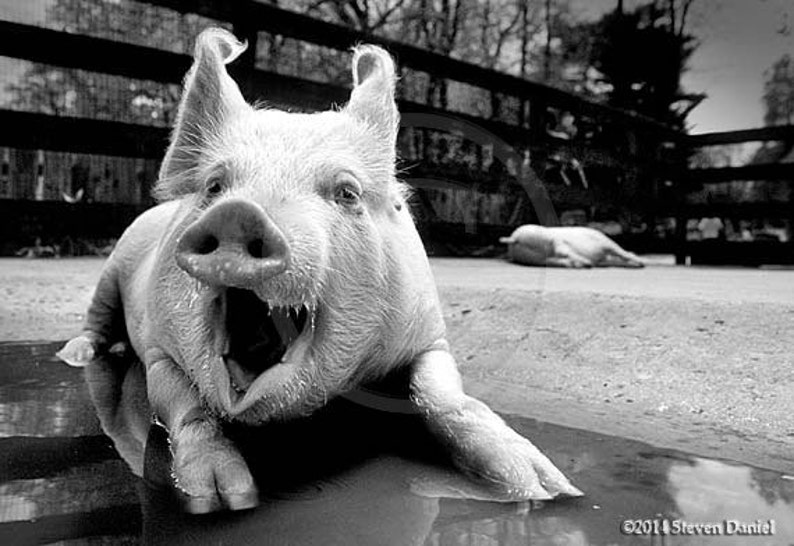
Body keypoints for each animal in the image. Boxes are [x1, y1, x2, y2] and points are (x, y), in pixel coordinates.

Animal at [57, 28, 582, 513]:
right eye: (215, 185)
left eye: (346, 192)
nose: (239, 212)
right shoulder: (159, 347)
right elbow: (184, 406)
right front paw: (225, 499)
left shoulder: (430, 334)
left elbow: (440, 395)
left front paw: (547, 489)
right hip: (112, 269)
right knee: (97, 319)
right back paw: (74, 355)